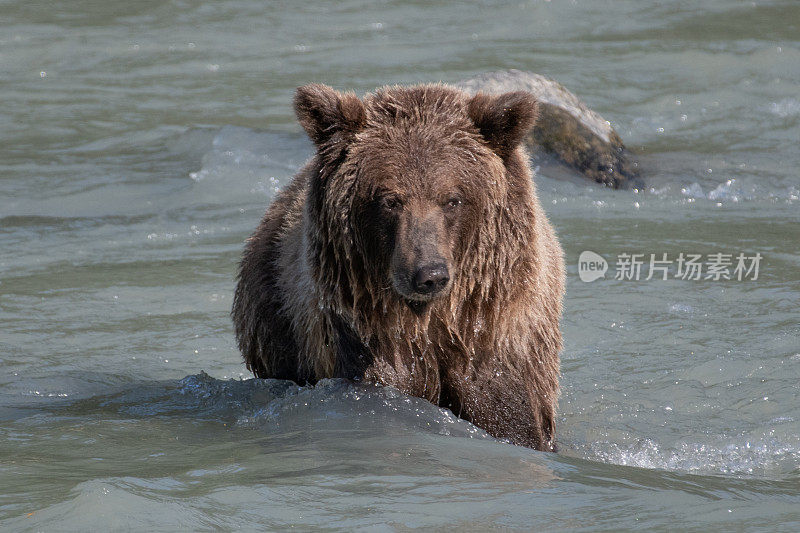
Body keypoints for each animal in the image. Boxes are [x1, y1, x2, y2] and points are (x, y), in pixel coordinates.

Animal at [231, 82, 564, 448]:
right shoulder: (366, 337)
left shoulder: (497, 336)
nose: (428, 274)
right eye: (390, 200)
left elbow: (511, 414)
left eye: (453, 199)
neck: (434, 321)